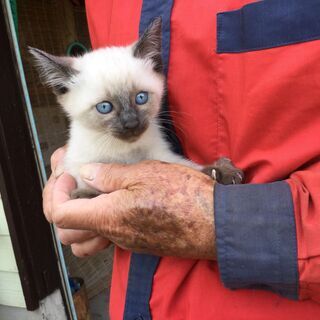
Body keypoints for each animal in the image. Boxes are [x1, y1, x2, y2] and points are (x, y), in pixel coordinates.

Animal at [30, 18, 242, 198]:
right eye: (104, 107)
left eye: (141, 97)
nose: (131, 123)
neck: (126, 153)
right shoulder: (78, 174)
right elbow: (94, 192)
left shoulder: (162, 156)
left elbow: (189, 168)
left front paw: (223, 171)